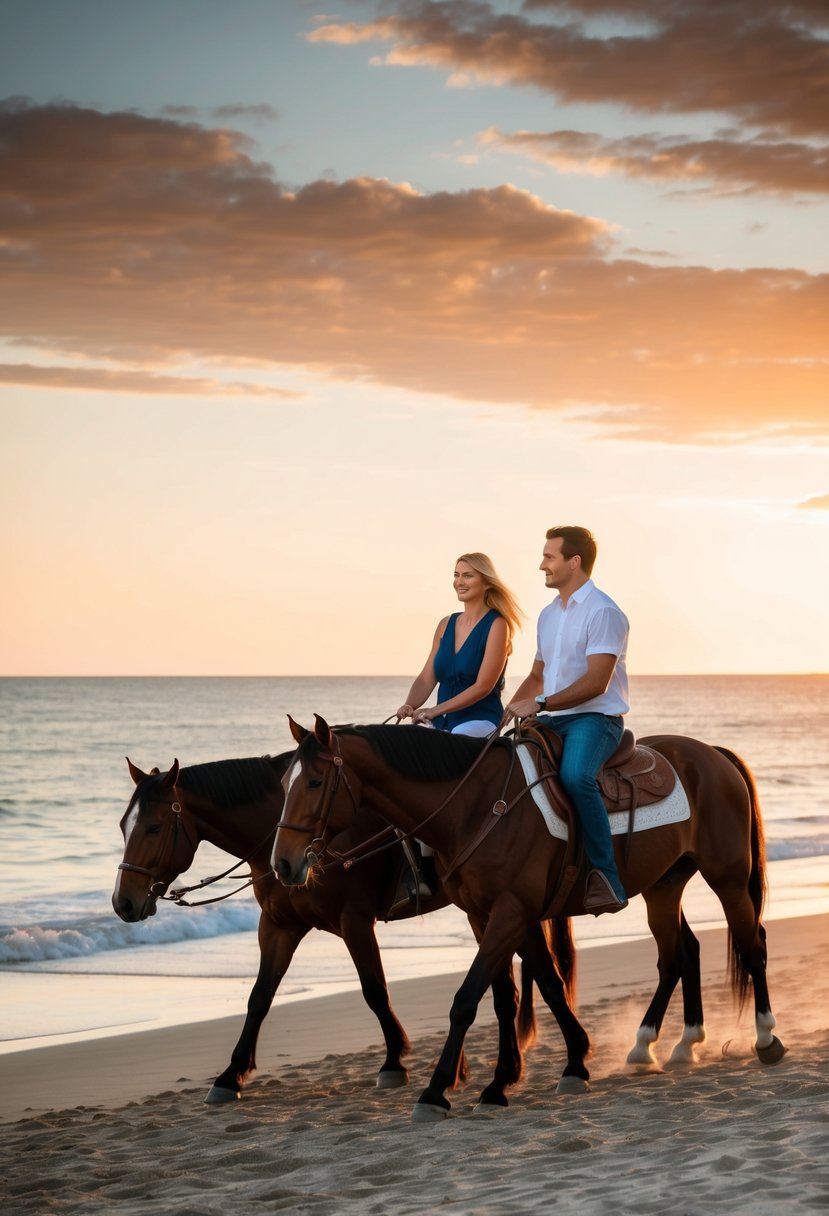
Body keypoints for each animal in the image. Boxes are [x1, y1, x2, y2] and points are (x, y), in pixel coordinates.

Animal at [113, 749, 564, 1104]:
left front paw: (394, 1061)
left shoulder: (354, 920)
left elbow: (374, 991)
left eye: (153, 827)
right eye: (122, 826)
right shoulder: (278, 926)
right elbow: (259, 998)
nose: (123, 902)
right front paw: (230, 1075)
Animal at [275, 715, 782, 1123]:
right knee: (675, 955)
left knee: (752, 944)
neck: (474, 807)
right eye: (283, 784)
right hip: (664, 884)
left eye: (315, 783)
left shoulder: (511, 911)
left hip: (727, 877)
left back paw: (765, 1039)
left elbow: (467, 997)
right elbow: (535, 988)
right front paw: (551, 1069)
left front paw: (436, 1092)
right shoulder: (489, 915)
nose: (283, 864)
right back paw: (658, 1044)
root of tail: (712, 754)